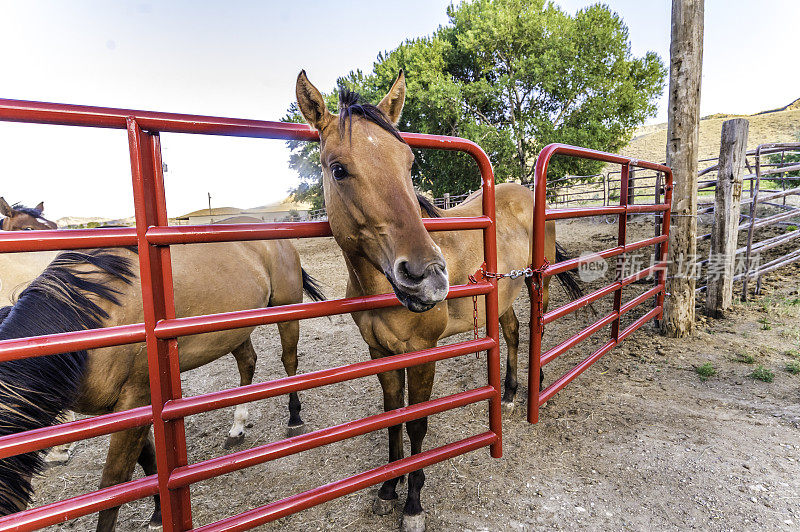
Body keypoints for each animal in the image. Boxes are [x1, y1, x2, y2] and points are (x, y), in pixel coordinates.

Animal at [0, 240, 324, 528]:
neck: (90, 318)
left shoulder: (136, 397)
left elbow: (114, 484)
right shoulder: (120, 408)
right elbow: (149, 461)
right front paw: (158, 512)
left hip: (287, 311)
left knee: (289, 361)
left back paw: (294, 417)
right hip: (234, 330)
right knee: (248, 363)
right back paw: (238, 427)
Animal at [296, 71, 580, 532]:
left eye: (409, 162)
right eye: (338, 169)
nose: (426, 277)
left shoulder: (422, 353)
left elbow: (416, 425)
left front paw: (413, 503)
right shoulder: (380, 353)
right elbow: (392, 418)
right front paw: (387, 489)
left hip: (539, 283)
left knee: (538, 328)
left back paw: (534, 385)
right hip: (502, 297)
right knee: (514, 333)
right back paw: (509, 393)